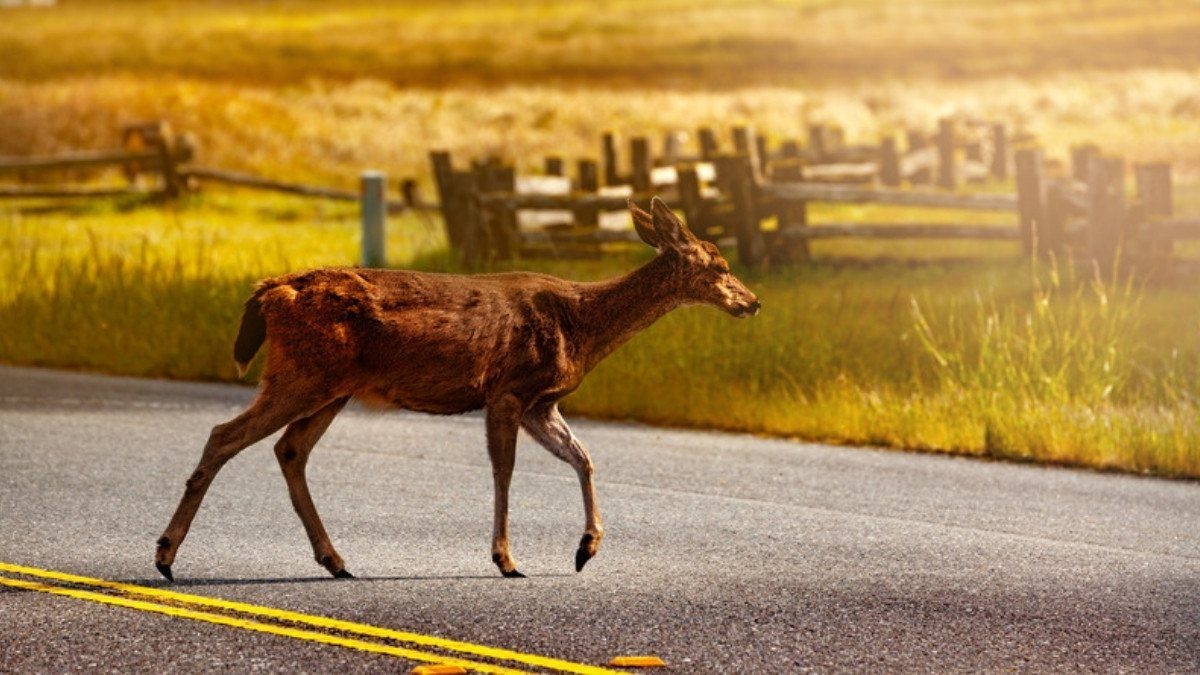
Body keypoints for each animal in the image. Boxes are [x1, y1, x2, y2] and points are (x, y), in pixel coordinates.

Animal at [154, 197, 760, 582]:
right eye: (721, 265)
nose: (752, 302)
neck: (582, 325)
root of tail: (271, 291)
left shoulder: (542, 403)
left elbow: (584, 459)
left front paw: (586, 549)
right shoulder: (509, 389)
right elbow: (505, 471)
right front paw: (506, 559)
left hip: (332, 386)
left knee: (289, 449)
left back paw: (335, 560)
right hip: (304, 374)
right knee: (225, 435)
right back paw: (165, 556)